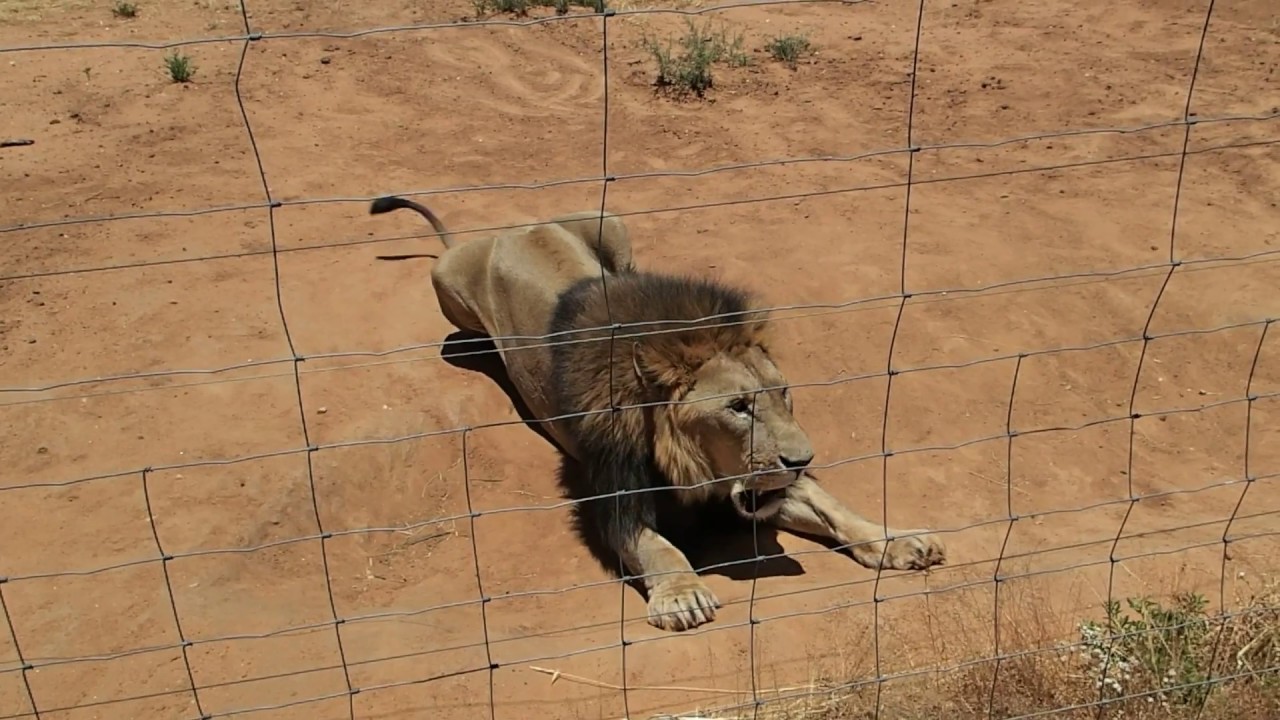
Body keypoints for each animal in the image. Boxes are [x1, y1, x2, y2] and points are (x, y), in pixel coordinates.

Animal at [371, 196, 946, 632]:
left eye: (784, 394)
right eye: (737, 407)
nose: (802, 459)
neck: (695, 463)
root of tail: (503, 231)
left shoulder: (755, 491)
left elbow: (835, 508)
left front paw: (898, 541)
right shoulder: (614, 496)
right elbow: (656, 547)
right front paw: (682, 594)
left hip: (611, 224)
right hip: (446, 292)